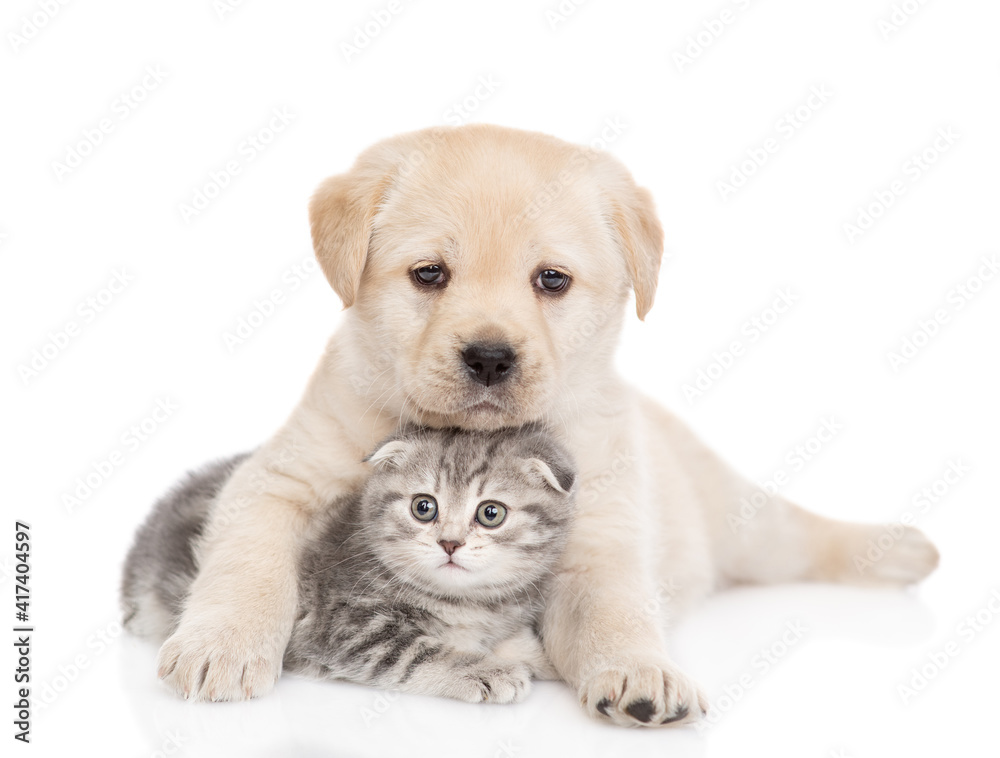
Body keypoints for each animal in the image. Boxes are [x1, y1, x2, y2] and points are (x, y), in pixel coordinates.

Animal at [121, 428, 576, 708]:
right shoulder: (347, 625)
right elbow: (417, 654)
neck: (464, 601)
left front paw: (545, 658)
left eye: (491, 513)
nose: (450, 543)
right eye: (424, 507)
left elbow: (510, 637)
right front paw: (486, 671)